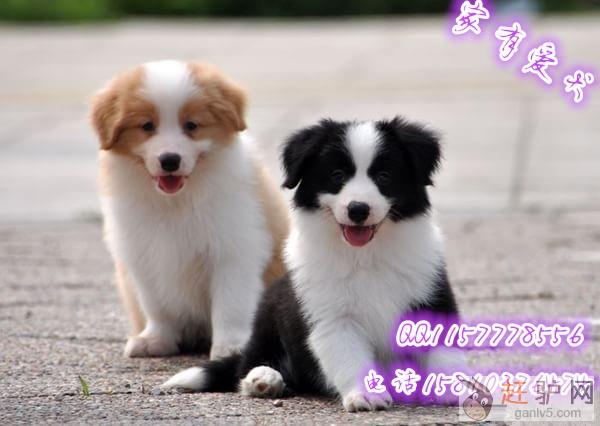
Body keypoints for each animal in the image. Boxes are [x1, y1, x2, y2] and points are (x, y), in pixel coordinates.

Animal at [90, 60, 289, 359]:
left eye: (191, 125)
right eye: (147, 126)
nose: (170, 160)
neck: (177, 201)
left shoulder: (233, 251)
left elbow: (231, 304)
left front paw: (230, 347)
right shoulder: (142, 255)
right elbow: (157, 306)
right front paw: (155, 340)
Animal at [161, 117, 459, 411]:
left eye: (384, 176)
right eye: (337, 175)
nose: (358, 210)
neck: (365, 255)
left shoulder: (432, 295)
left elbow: (443, 351)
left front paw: (454, 387)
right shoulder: (331, 316)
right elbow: (348, 356)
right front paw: (365, 395)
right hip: (268, 313)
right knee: (248, 364)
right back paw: (264, 379)